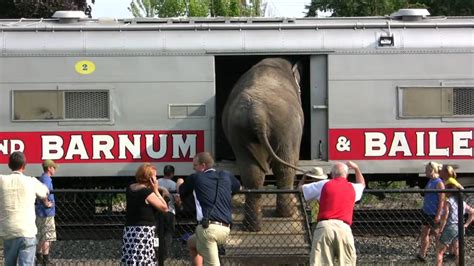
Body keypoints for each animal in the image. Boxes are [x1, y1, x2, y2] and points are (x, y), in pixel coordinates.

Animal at [221, 57, 304, 231]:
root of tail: (257, 112)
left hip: (240, 131)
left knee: (251, 172)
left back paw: (252, 227)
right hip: (287, 127)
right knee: (285, 167)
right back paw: (287, 214)